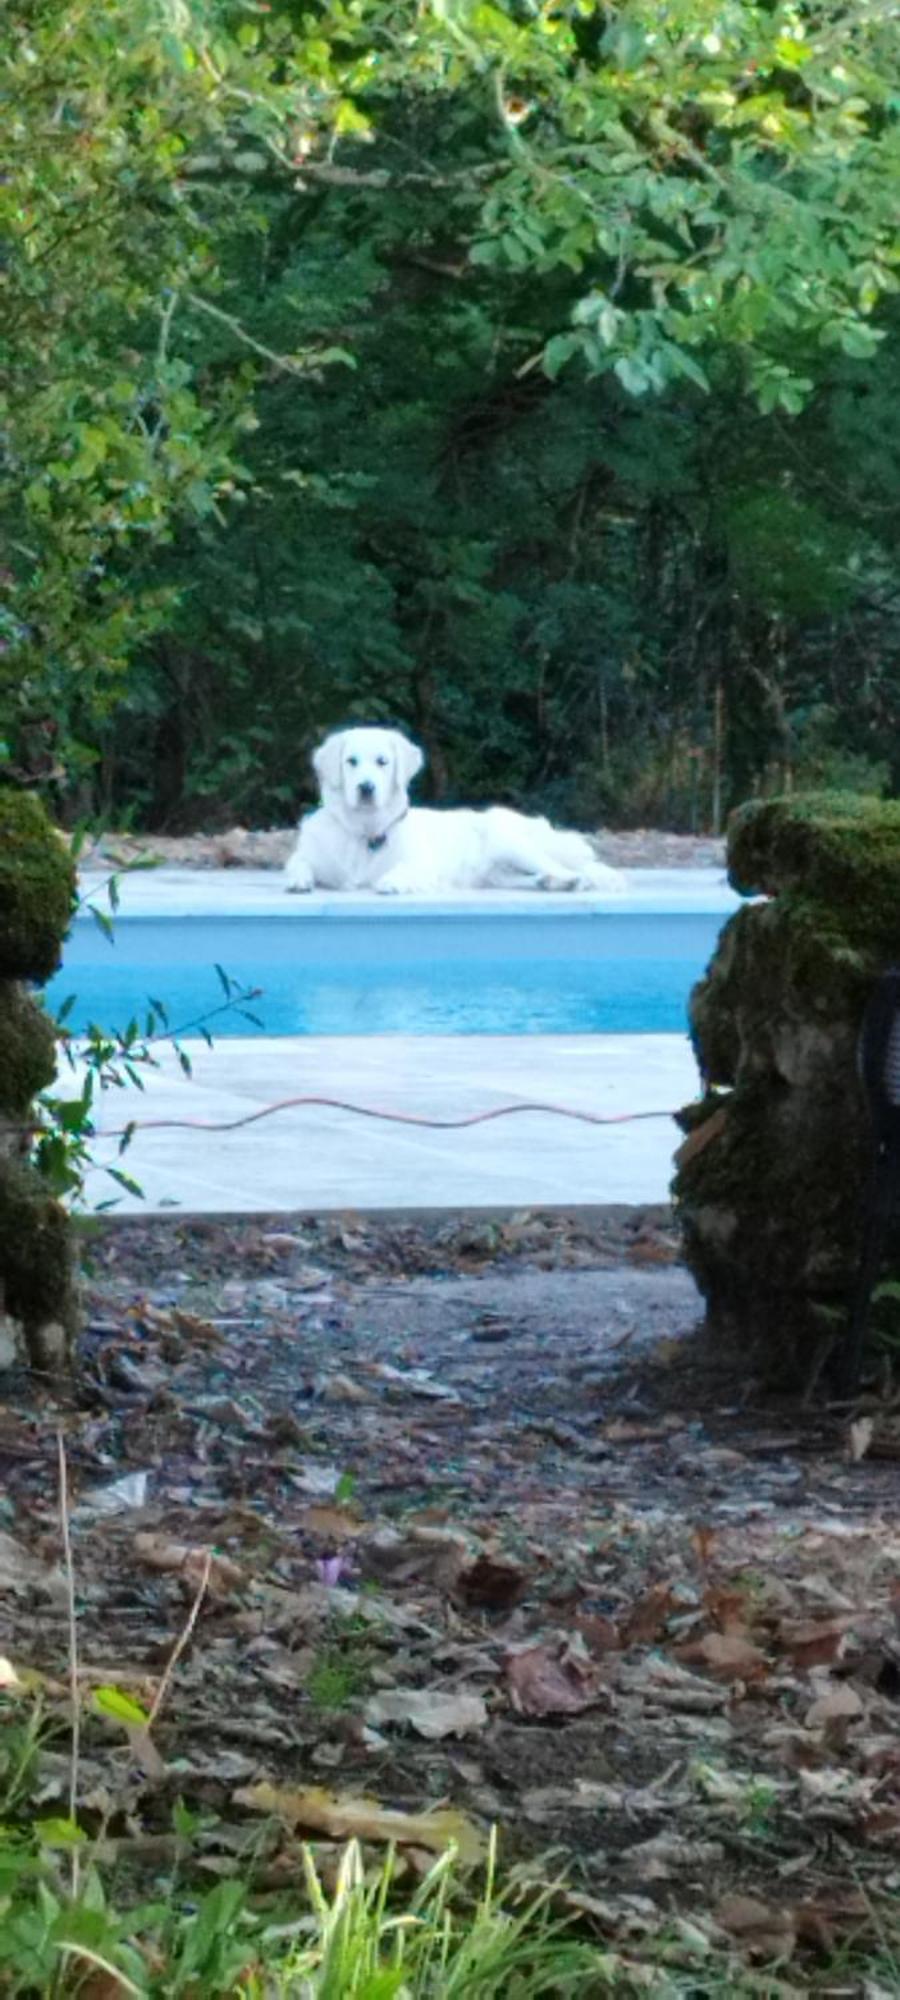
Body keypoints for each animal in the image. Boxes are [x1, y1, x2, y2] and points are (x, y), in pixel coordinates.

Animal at [284, 728, 624, 892]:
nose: (366, 788)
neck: (364, 832)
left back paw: (572, 880)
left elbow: (406, 869)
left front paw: (394, 882)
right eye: (351, 761)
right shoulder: (307, 855)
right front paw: (298, 881)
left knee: (572, 868)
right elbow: (297, 865)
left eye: (382, 762)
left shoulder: (424, 864)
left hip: (511, 843)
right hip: (496, 874)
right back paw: (549, 883)